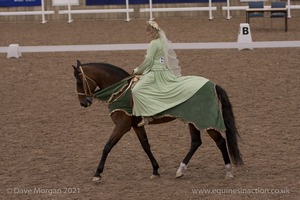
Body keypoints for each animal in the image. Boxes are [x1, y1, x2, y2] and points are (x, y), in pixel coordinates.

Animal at [72, 59, 244, 181]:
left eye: (79, 82)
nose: (83, 103)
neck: (121, 90)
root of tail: (212, 84)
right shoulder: (136, 126)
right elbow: (146, 146)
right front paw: (155, 170)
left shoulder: (122, 126)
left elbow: (107, 146)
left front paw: (97, 173)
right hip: (192, 121)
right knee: (196, 142)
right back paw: (180, 170)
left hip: (205, 121)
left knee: (220, 141)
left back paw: (228, 172)